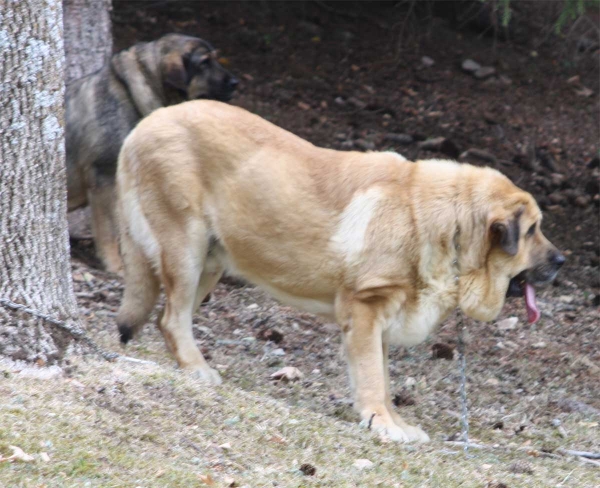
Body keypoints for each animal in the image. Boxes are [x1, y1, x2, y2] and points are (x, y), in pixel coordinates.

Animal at [115, 100, 564, 442]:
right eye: (532, 230)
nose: (561, 262)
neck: (445, 226)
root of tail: (144, 123)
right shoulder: (365, 310)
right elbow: (372, 379)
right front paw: (382, 425)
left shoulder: (380, 323)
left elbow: (382, 380)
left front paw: (392, 423)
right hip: (185, 249)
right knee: (172, 318)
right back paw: (198, 369)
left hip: (209, 262)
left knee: (169, 318)